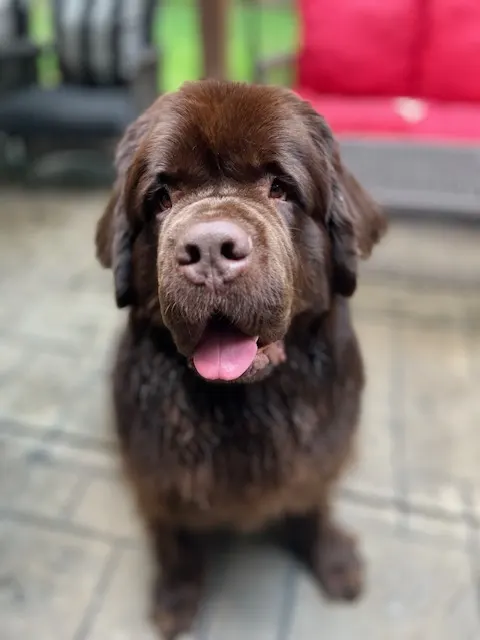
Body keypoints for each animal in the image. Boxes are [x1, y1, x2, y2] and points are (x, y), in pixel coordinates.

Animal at [94, 81, 386, 640]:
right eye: (161, 199)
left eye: (280, 188)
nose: (210, 248)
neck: (243, 408)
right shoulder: (157, 476)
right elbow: (174, 536)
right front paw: (176, 595)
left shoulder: (323, 452)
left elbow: (314, 502)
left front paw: (333, 560)